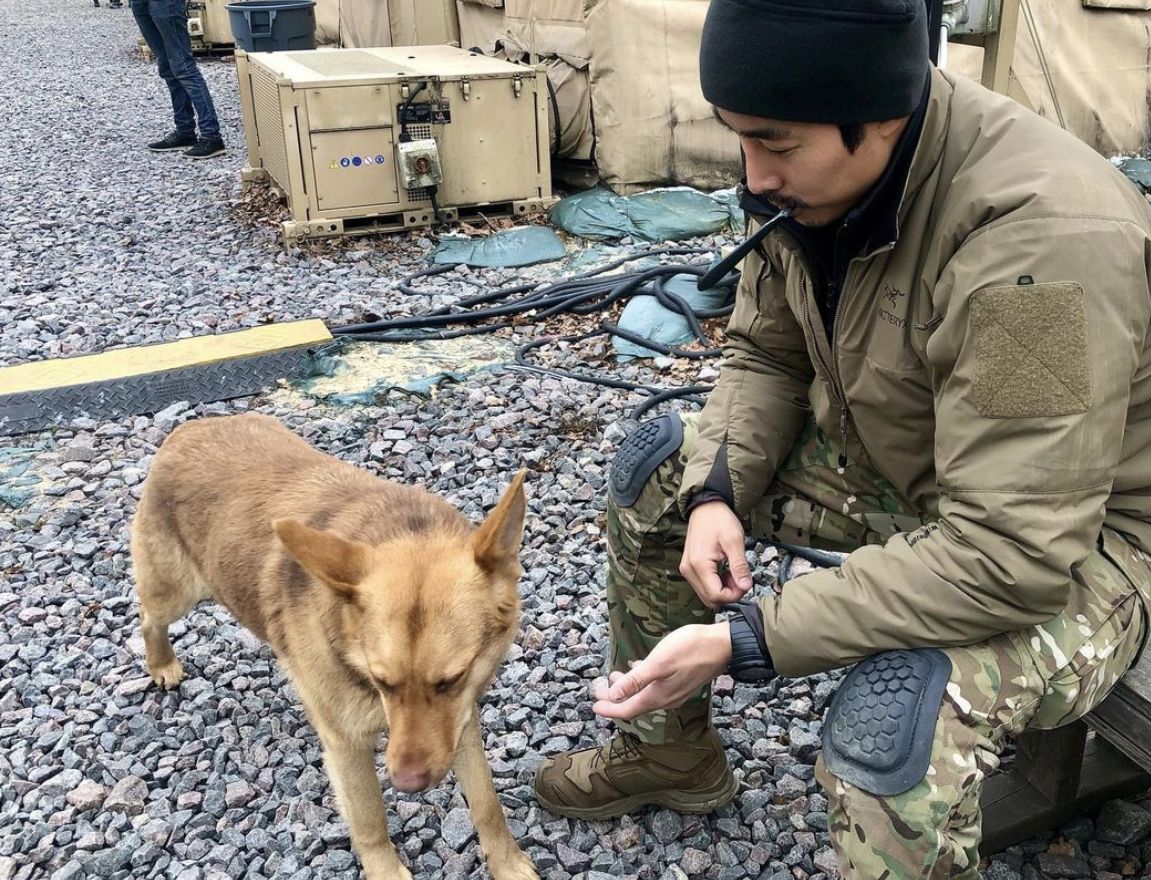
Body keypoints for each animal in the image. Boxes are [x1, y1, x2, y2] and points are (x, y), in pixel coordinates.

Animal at [131, 414, 538, 878]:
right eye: (383, 681)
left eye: (451, 679)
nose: (407, 783)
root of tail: (191, 427)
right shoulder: (347, 744)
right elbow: (370, 819)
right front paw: (386, 869)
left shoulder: (460, 721)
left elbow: (487, 802)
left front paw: (506, 862)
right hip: (176, 590)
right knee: (148, 616)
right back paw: (161, 663)